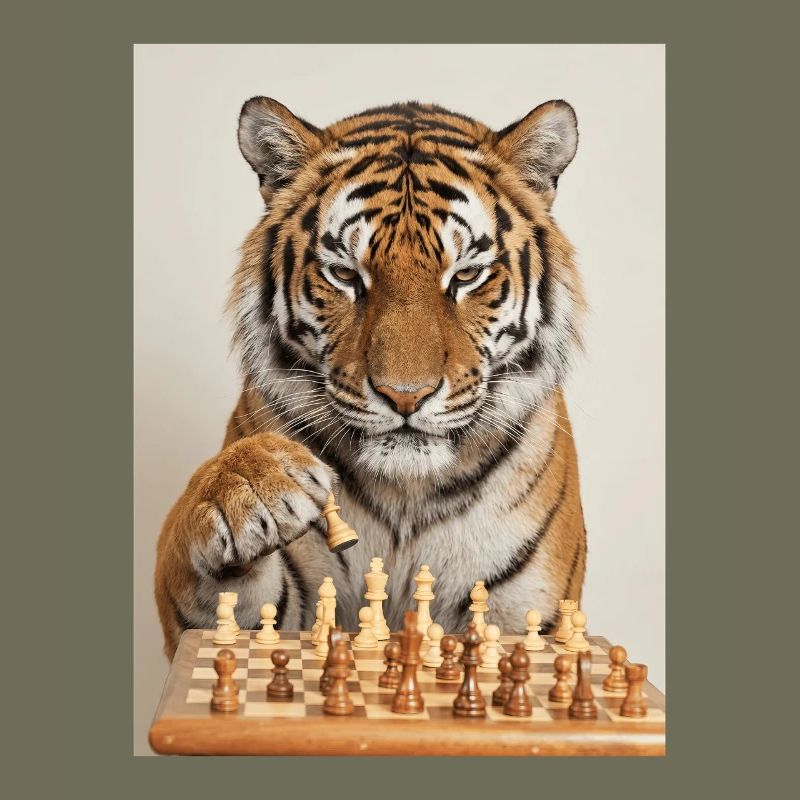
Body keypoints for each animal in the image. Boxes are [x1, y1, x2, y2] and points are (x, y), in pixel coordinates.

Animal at [155, 97, 588, 659]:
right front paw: (249, 483)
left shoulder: (530, 615)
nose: (405, 397)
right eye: (345, 274)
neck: (406, 499)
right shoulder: (246, 619)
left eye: (466, 276)